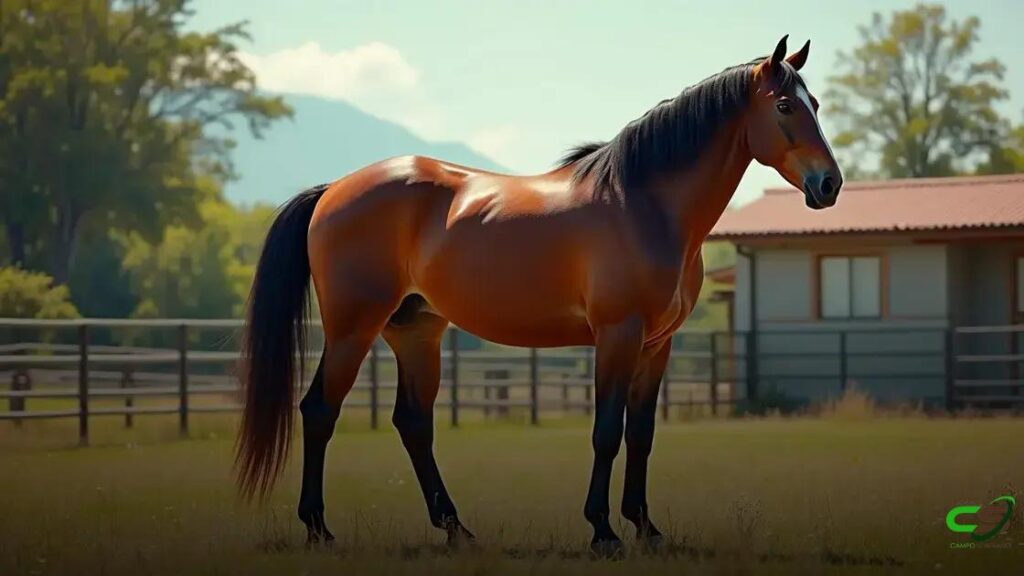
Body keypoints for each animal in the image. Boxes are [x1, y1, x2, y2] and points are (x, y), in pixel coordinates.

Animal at [235, 35, 841, 556]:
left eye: (814, 103)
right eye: (785, 105)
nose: (829, 185)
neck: (643, 205)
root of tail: (332, 190)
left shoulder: (656, 345)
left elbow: (642, 434)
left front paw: (646, 528)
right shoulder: (618, 335)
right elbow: (607, 431)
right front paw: (603, 531)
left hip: (415, 331)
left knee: (413, 423)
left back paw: (456, 529)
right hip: (352, 328)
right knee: (320, 409)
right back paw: (319, 528)